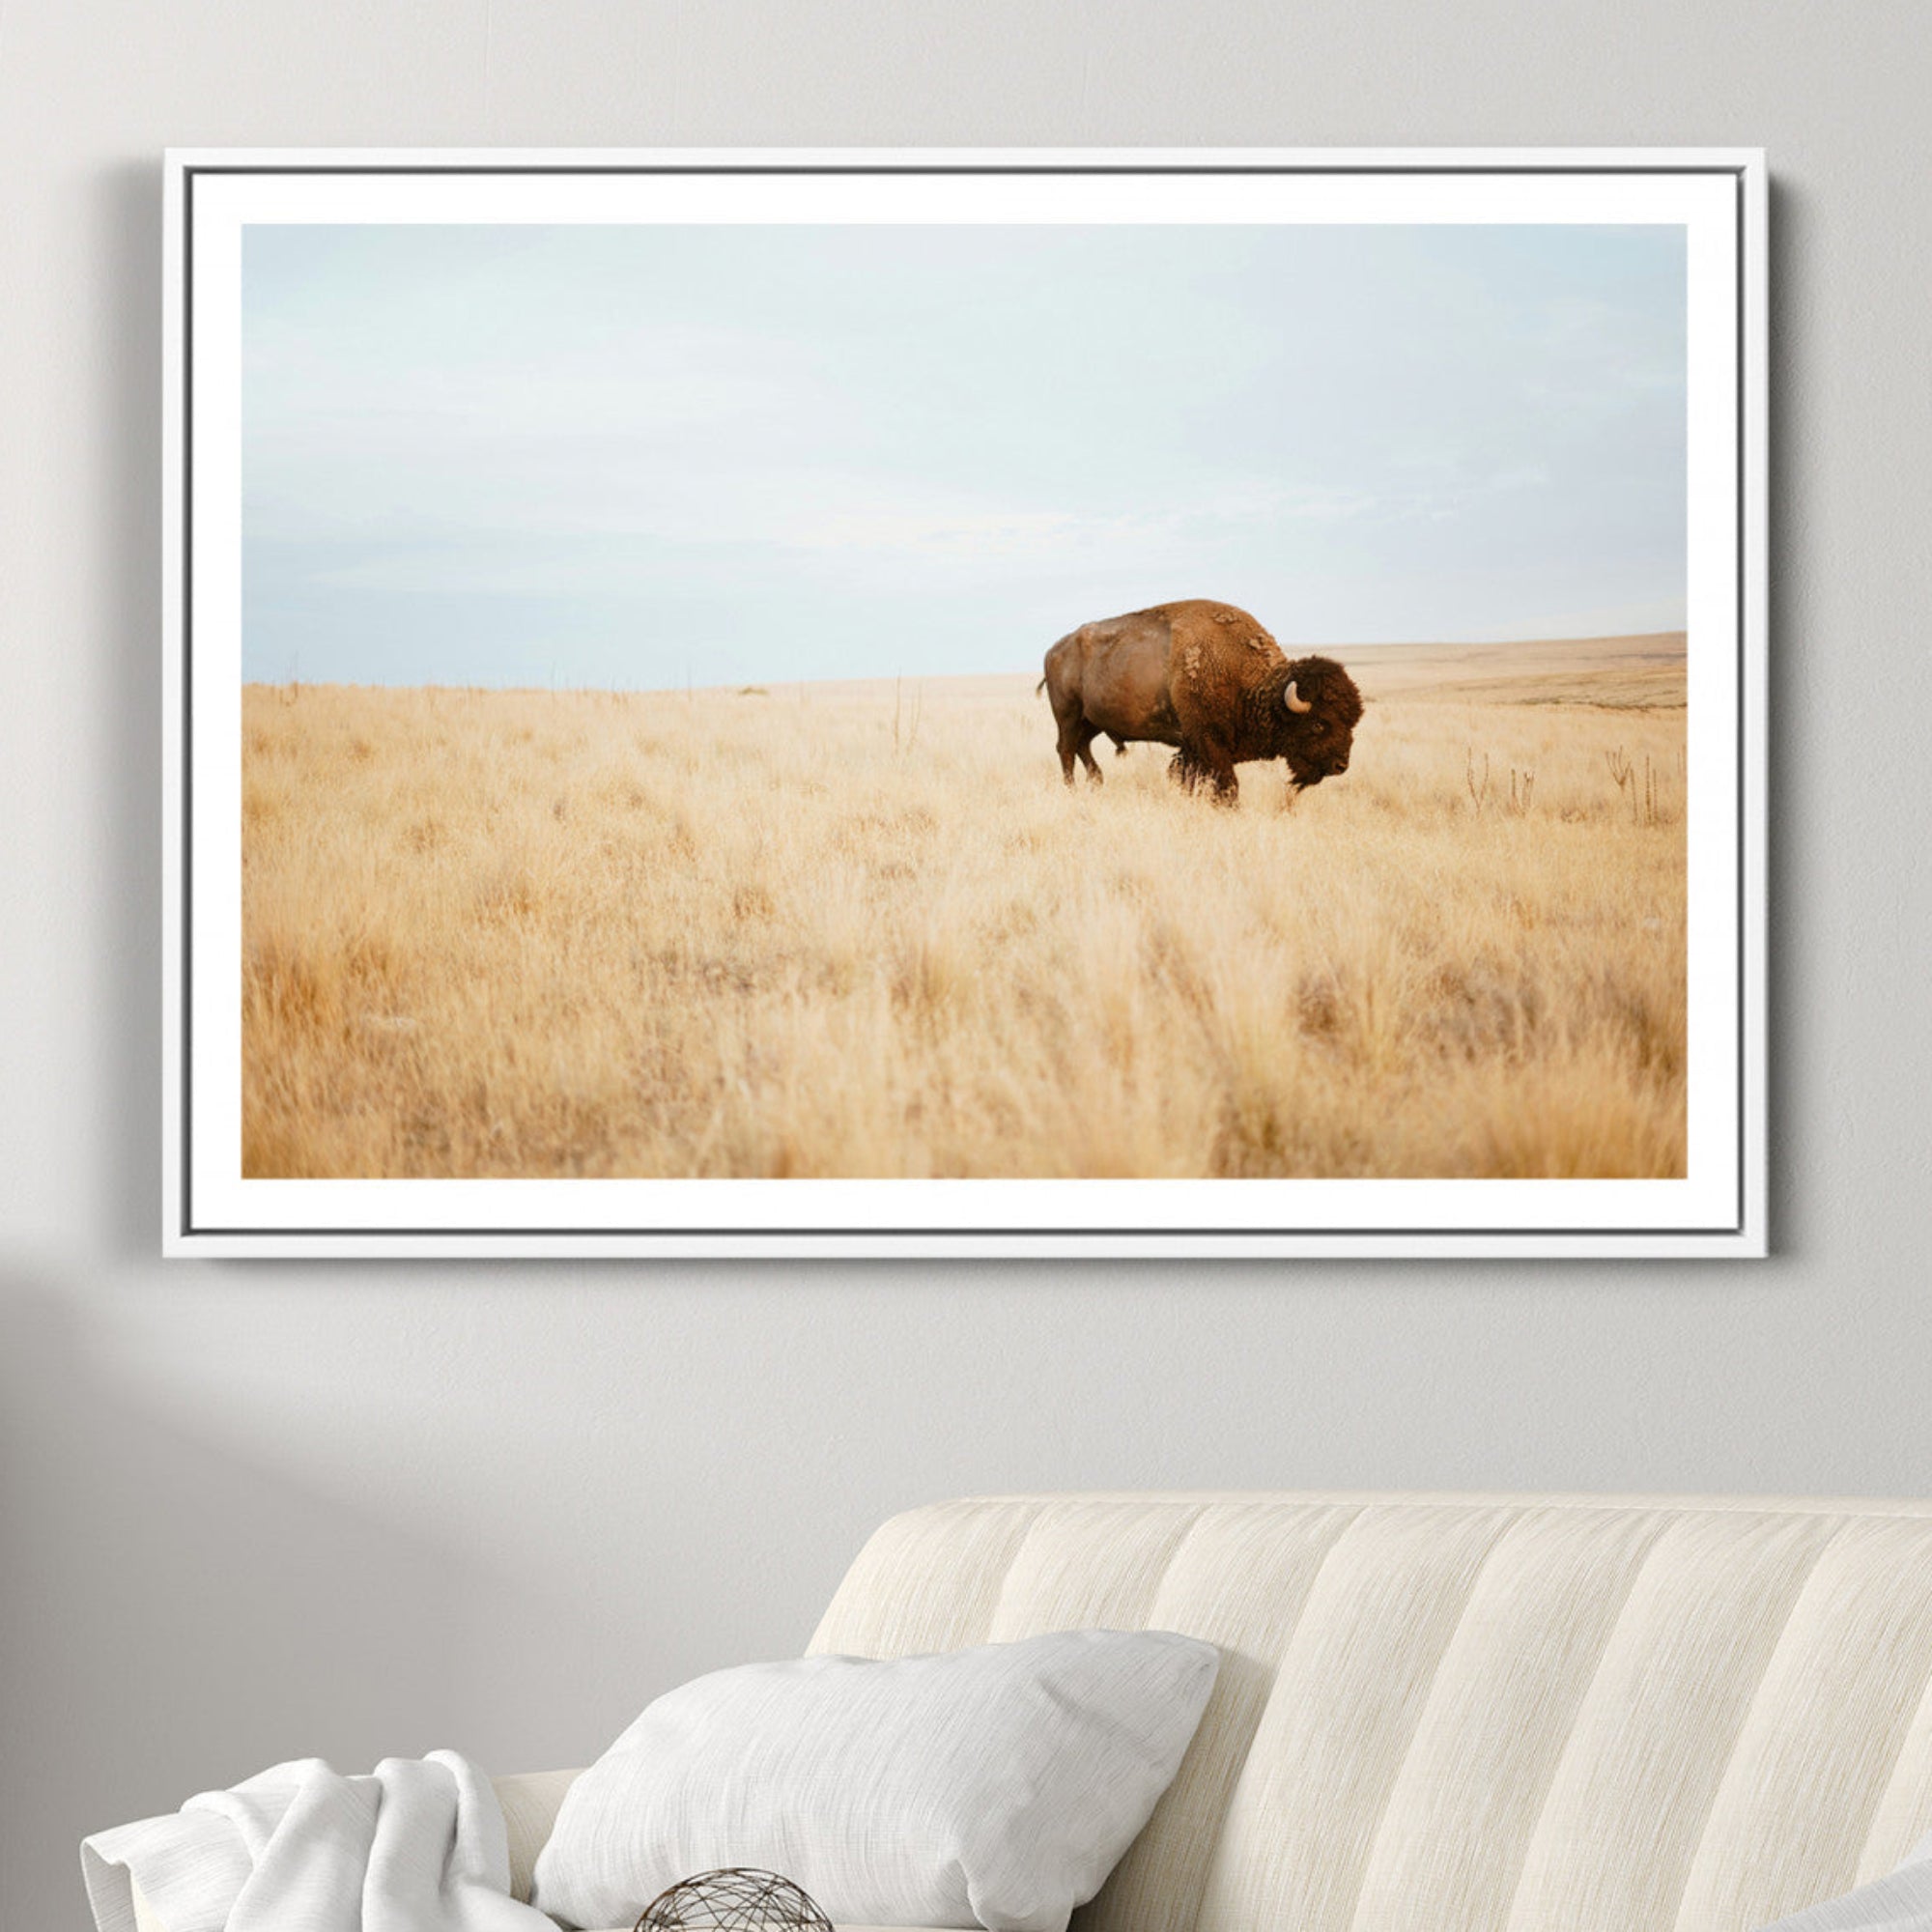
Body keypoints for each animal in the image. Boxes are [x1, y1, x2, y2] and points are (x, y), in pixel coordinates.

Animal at [1039, 599, 1363, 802]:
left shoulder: (1193, 748)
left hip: (1092, 720)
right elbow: (1227, 784)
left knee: (1082, 747)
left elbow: (1188, 777)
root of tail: (1053, 650)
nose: (1341, 765)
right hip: (1068, 716)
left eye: (1352, 722)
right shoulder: (1208, 742)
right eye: (1319, 723)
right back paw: (1073, 790)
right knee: (1066, 750)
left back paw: (1096, 782)